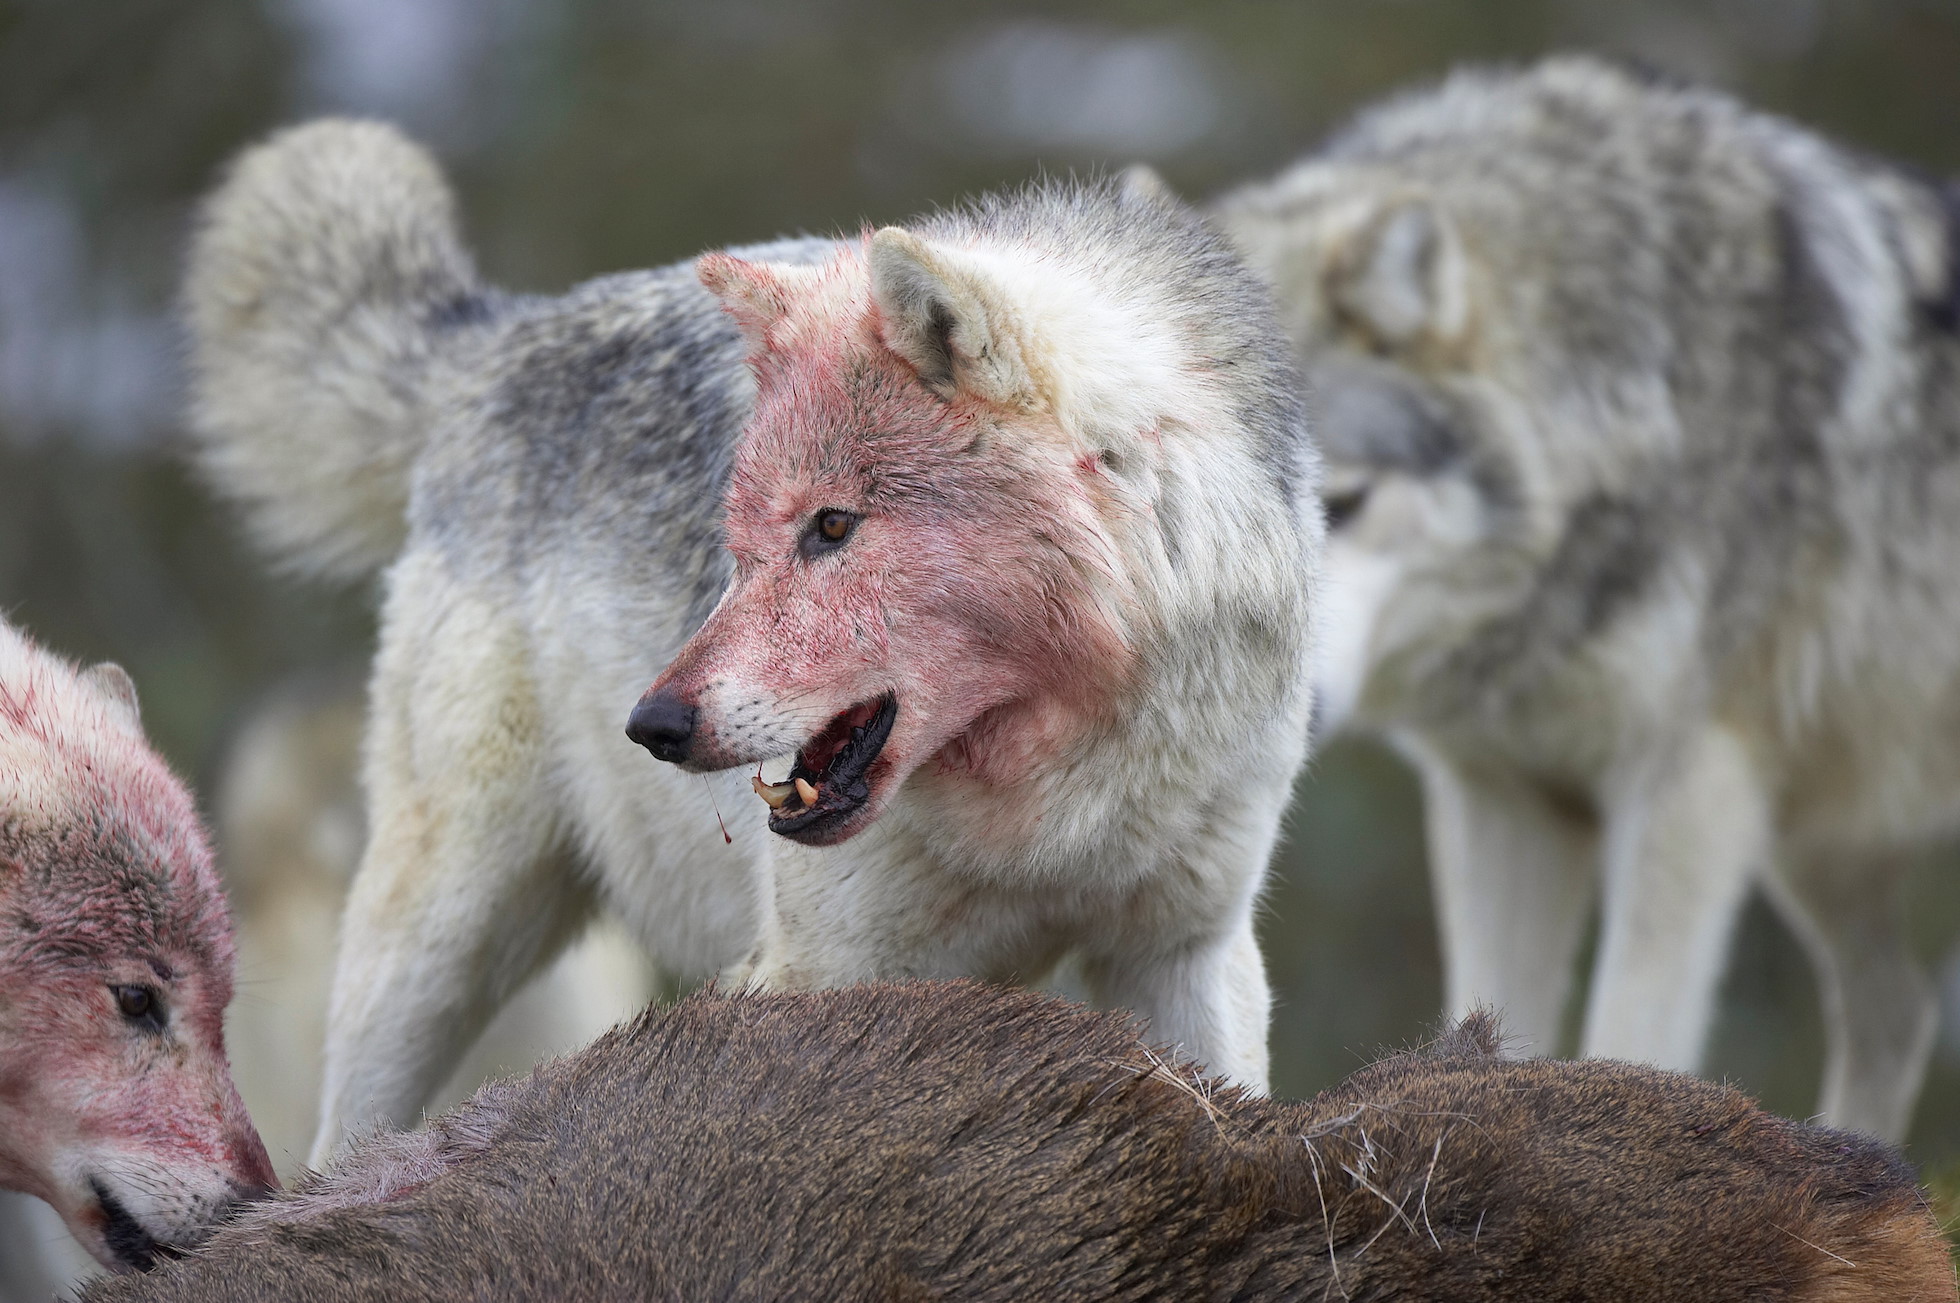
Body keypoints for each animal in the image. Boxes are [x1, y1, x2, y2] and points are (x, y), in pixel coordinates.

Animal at [183, 120, 1318, 1164]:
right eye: (740, 545)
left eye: (832, 527)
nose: (652, 724)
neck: (1052, 797)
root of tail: (508, 330)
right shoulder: (821, 975)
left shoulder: (1190, 955)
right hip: (435, 940)